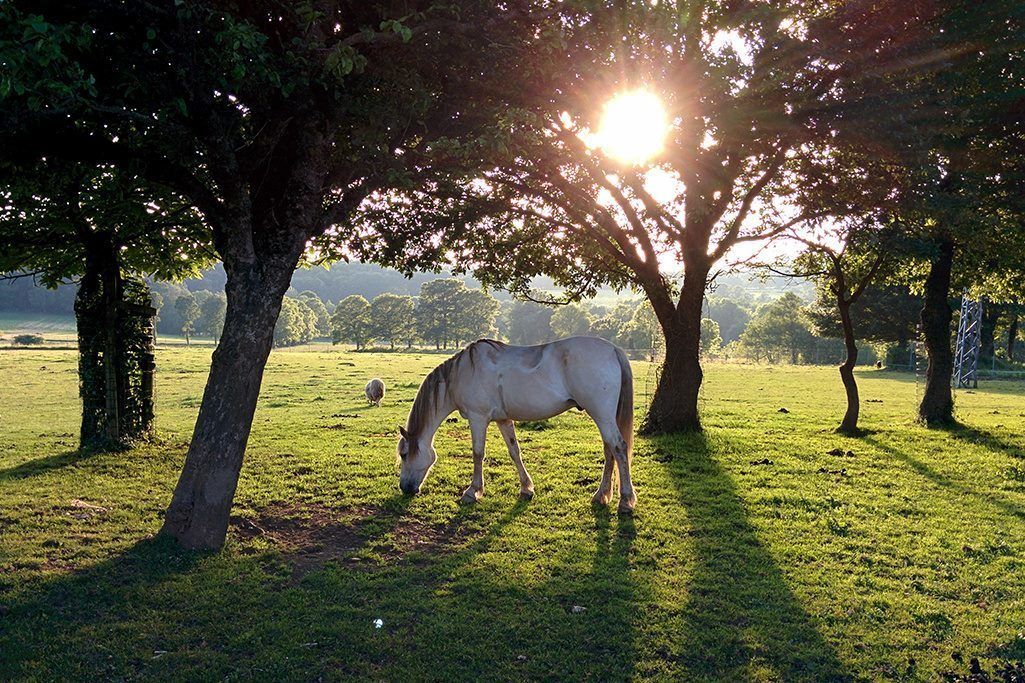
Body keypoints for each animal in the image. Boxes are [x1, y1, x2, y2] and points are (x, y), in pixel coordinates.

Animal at [397, 337, 636, 513]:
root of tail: (613, 349)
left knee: (619, 448)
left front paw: (472, 492)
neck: (463, 372)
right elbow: (514, 451)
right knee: (609, 451)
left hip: (602, 415)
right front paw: (526, 489)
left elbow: (478, 454)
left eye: (404, 454)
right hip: (604, 417)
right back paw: (601, 495)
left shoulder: (478, 418)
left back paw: (625, 501)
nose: (405, 488)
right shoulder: (504, 419)